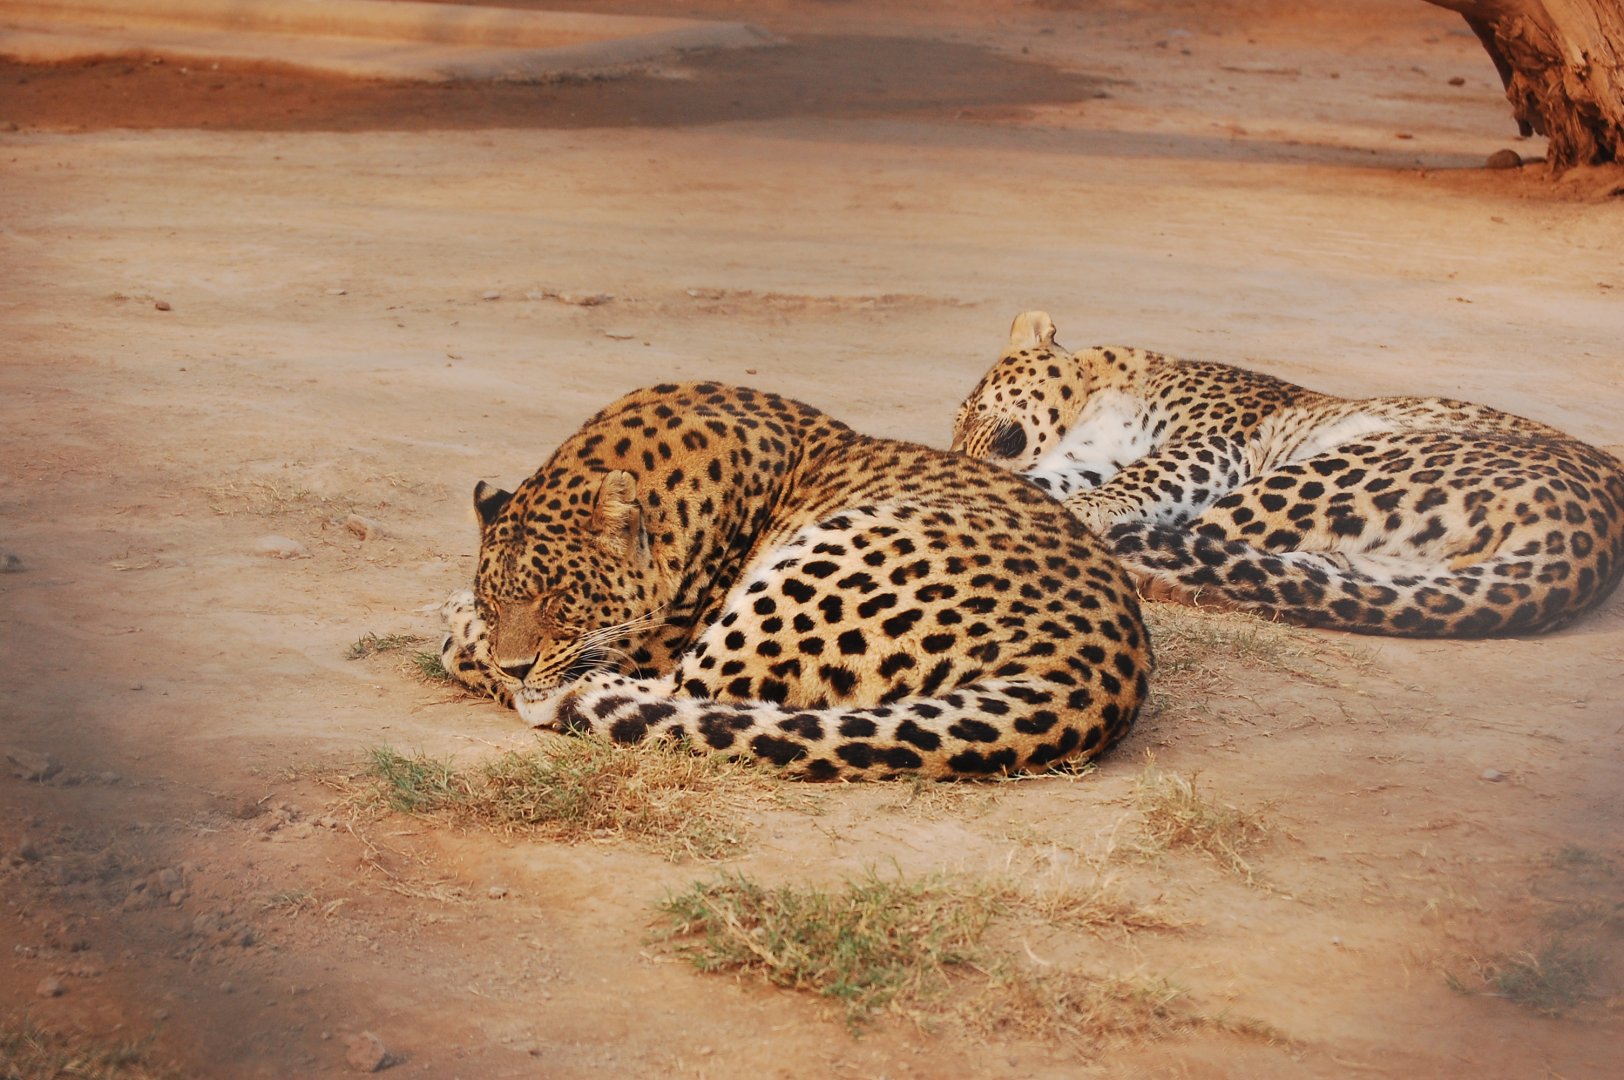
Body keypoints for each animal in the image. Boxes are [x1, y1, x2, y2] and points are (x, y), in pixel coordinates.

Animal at [440, 381, 1152, 780]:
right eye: (498, 601)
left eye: (560, 599)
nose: (515, 666)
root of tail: (1105, 671)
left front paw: (465, 631)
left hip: (827, 561)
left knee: (661, 691)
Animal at [950, 311, 1624, 637]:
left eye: (972, 407)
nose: (957, 448)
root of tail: (1592, 546)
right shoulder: (1087, 458)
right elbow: (1050, 483)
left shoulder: (1216, 441)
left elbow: (1141, 479)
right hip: (1378, 562)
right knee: (1285, 577)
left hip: (1335, 465)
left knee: (1213, 534)